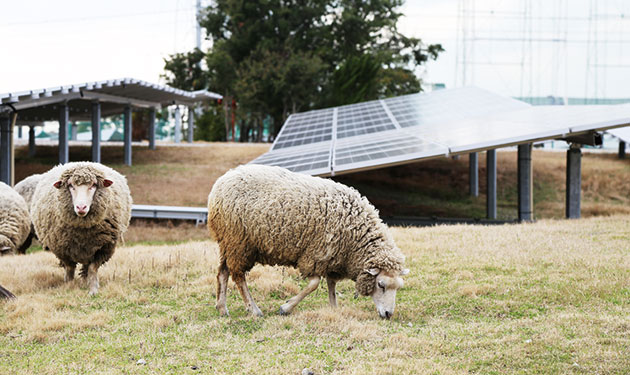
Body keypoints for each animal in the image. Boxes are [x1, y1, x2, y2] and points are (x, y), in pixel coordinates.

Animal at [31, 162, 133, 296]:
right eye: (71, 186)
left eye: (93, 185)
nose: (81, 207)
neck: (83, 231)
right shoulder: (62, 249)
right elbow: (70, 269)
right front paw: (68, 286)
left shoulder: (104, 248)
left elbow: (93, 268)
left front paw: (93, 290)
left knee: (86, 267)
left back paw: (85, 280)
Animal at [210, 164, 412, 320]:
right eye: (381, 285)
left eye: (398, 287)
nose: (388, 314)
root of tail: (221, 182)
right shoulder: (315, 254)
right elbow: (314, 284)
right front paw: (286, 307)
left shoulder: (333, 258)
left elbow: (331, 285)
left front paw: (334, 309)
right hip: (239, 242)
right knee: (238, 276)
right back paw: (254, 309)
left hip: (229, 243)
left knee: (223, 272)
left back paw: (222, 308)